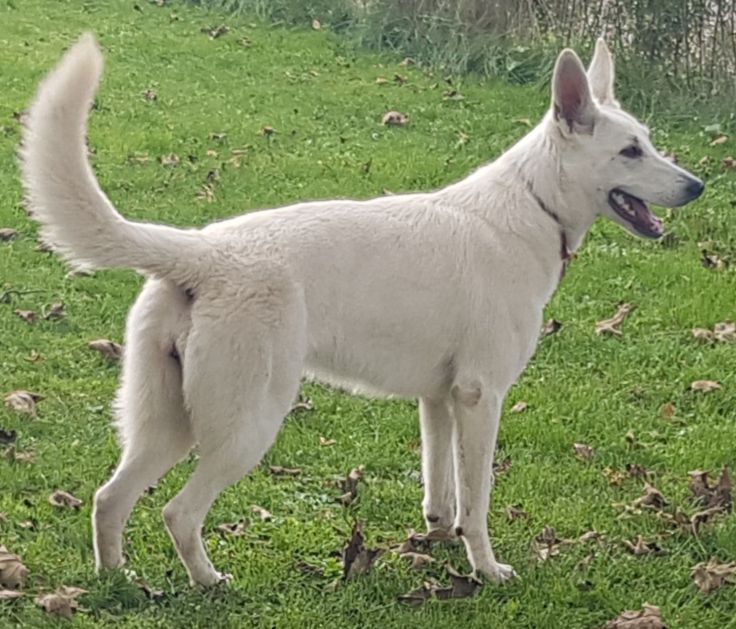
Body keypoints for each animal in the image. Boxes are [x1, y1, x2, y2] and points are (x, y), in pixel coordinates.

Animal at [21, 33, 700, 584]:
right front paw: (485, 569)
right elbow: (477, 502)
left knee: (110, 499)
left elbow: (441, 491)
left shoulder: (440, 402)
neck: (533, 204)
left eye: (649, 144)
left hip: (166, 424)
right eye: (631, 151)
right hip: (247, 428)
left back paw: (118, 584)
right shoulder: (482, 399)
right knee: (177, 512)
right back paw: (209, 583)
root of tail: (203, 252)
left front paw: (436, 541)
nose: (697, 186)